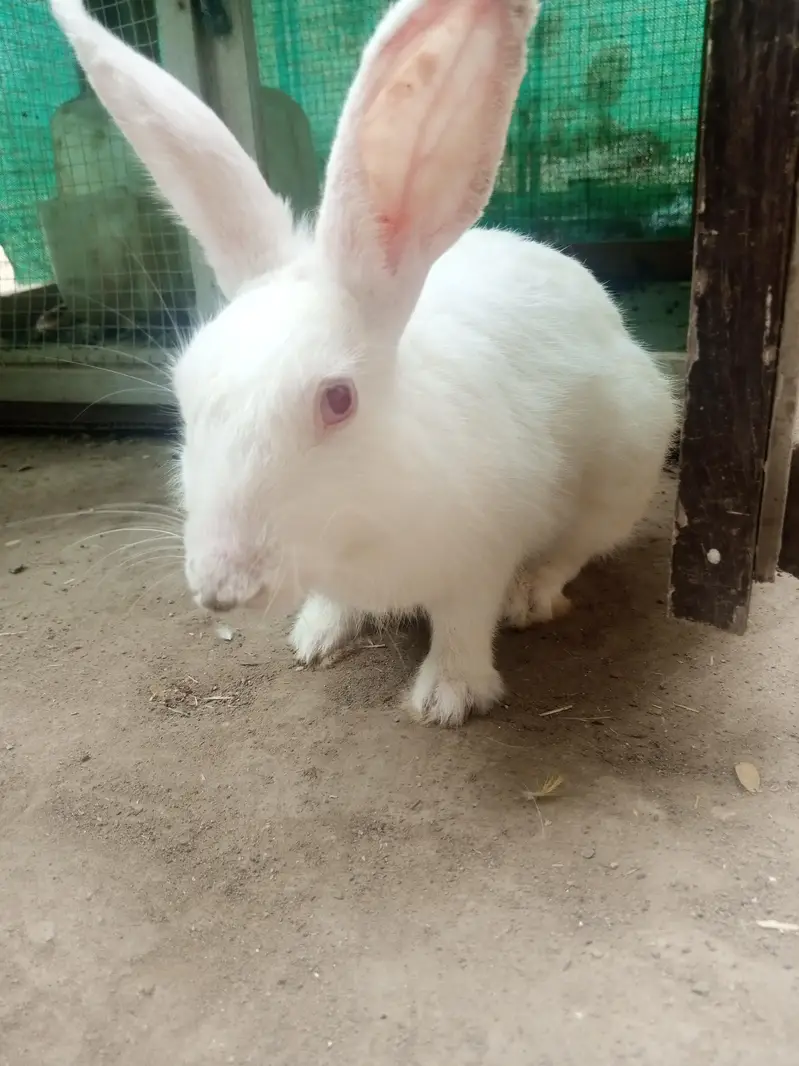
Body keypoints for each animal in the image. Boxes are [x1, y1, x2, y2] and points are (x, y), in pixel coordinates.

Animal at [51, 0, 678, 728]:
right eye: (185, 397)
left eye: (338, 399)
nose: (218, 591)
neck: (358, 531)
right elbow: (336, 602)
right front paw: (316, 636)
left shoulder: (479, 556)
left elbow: (463, 623)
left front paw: (447, 698)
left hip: (624, 465)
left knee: (576, 550)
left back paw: (531, 595)